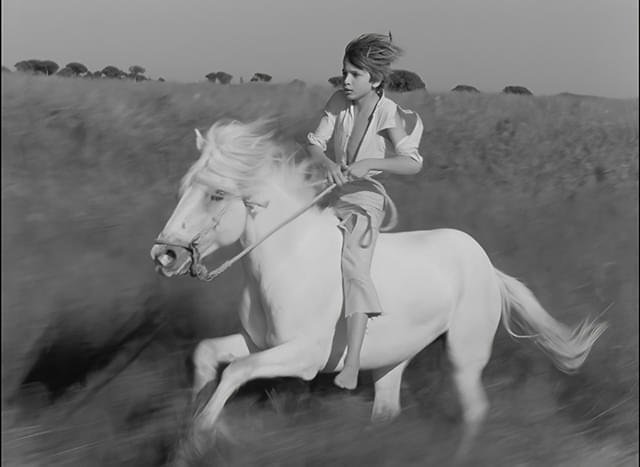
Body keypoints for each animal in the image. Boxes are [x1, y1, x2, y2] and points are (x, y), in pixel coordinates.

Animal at [150, 119, 606, 457]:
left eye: (216, 194)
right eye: (184, 187)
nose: (164, 255)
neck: (288, 261)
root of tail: (489, 267)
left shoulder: (304, 356)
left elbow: (237, 371)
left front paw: (202, 435)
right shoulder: (259, 342)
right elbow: (207, 354)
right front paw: (186, 427)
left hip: (464, 355)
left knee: (474, 411)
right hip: (393, 361)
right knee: (387, 410)